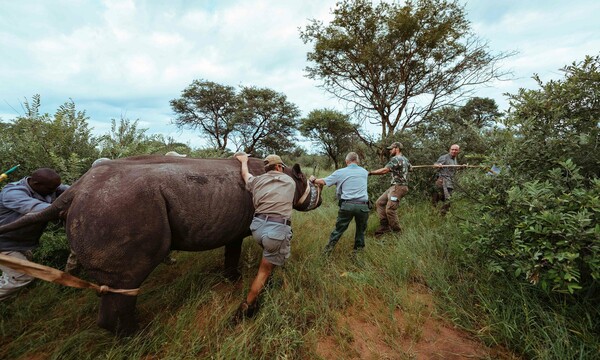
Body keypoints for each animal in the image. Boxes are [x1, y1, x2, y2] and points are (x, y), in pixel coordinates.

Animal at [0, 155, 324, 334]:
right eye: (310, 184)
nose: (319, 200)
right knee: (127, 281)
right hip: (122, 206)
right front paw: (237, 282)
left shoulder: (235, 225)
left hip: (105, 205)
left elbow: (231, 250)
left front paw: (229, 279)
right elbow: (238, 251)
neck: (284, 174)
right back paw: (139, 336)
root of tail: (75, 192)